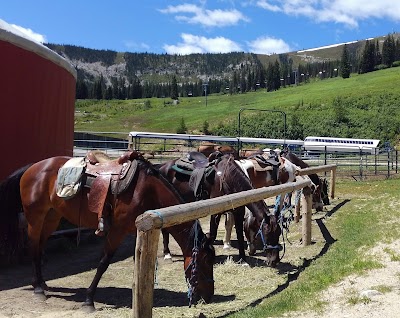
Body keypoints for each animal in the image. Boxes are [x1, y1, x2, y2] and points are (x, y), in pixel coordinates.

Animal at [0, 152, 216, 308]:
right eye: (206, 260)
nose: (209, 295)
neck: (147, 191)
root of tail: (32, 167)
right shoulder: (117, 231)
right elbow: (104, 263)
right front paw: (89, 300)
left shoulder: (138, 231)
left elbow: (137, 262)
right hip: (35, 217)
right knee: (33, 247)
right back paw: (38, 289)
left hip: (52, 217)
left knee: (40, 247)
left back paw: (42, 283)